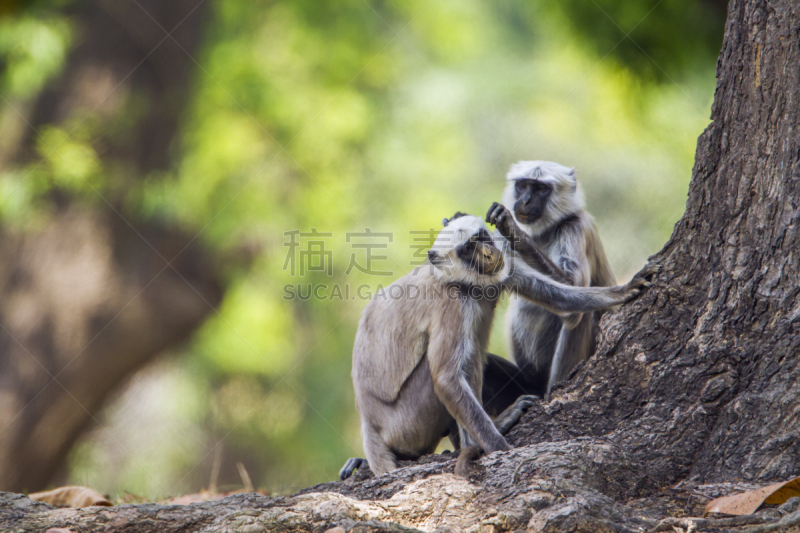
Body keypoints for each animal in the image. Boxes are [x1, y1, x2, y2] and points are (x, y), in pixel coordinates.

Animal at [340, 214, 656, 480]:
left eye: (481, 237)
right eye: (468, 249)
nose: (488, 253)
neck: (465, 283)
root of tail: (369, 423)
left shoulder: (504, 266)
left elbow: (559, 298)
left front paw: (624, 290)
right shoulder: (450, 302)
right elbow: (445, 378)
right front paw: (500, 448)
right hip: (408, 422)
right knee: (458, 366)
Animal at [482, 160, 620, 402]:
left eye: (541, 189)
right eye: (523, 186)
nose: (525, 201)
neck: (543, 233)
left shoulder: (575, 228)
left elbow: (575, 291)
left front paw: (517, 234)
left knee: (580, 314)